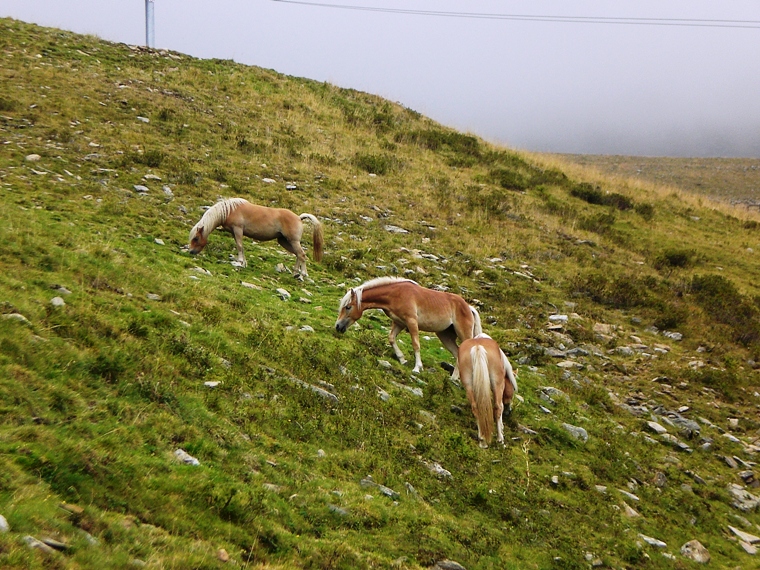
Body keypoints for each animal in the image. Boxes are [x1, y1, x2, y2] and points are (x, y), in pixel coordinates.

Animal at [189, 197, 324, 278]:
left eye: (196, 238)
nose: (191, 252)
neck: (230, 210)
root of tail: (299, 217)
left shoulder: (238, 229)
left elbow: (239, 246)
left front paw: (240, 262)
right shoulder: (234, 232)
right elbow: (240, 246)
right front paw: (243, 263)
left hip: (293, 241)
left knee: (301, 254)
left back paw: (303, 274)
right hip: (284, 241)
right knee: (298, 255)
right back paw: (295, 273)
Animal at [336, 278, 484, 374]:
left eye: (348, 307)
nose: (337, 327)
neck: (395, 294)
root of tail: (469, 308)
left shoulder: (412, 322)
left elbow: (416, 344)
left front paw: (417, 368)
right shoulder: (399, 323)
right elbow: (391, 338)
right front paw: (402, 360)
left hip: (463, 334)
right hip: (445, 335)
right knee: (457, 352)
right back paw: (453, 378)